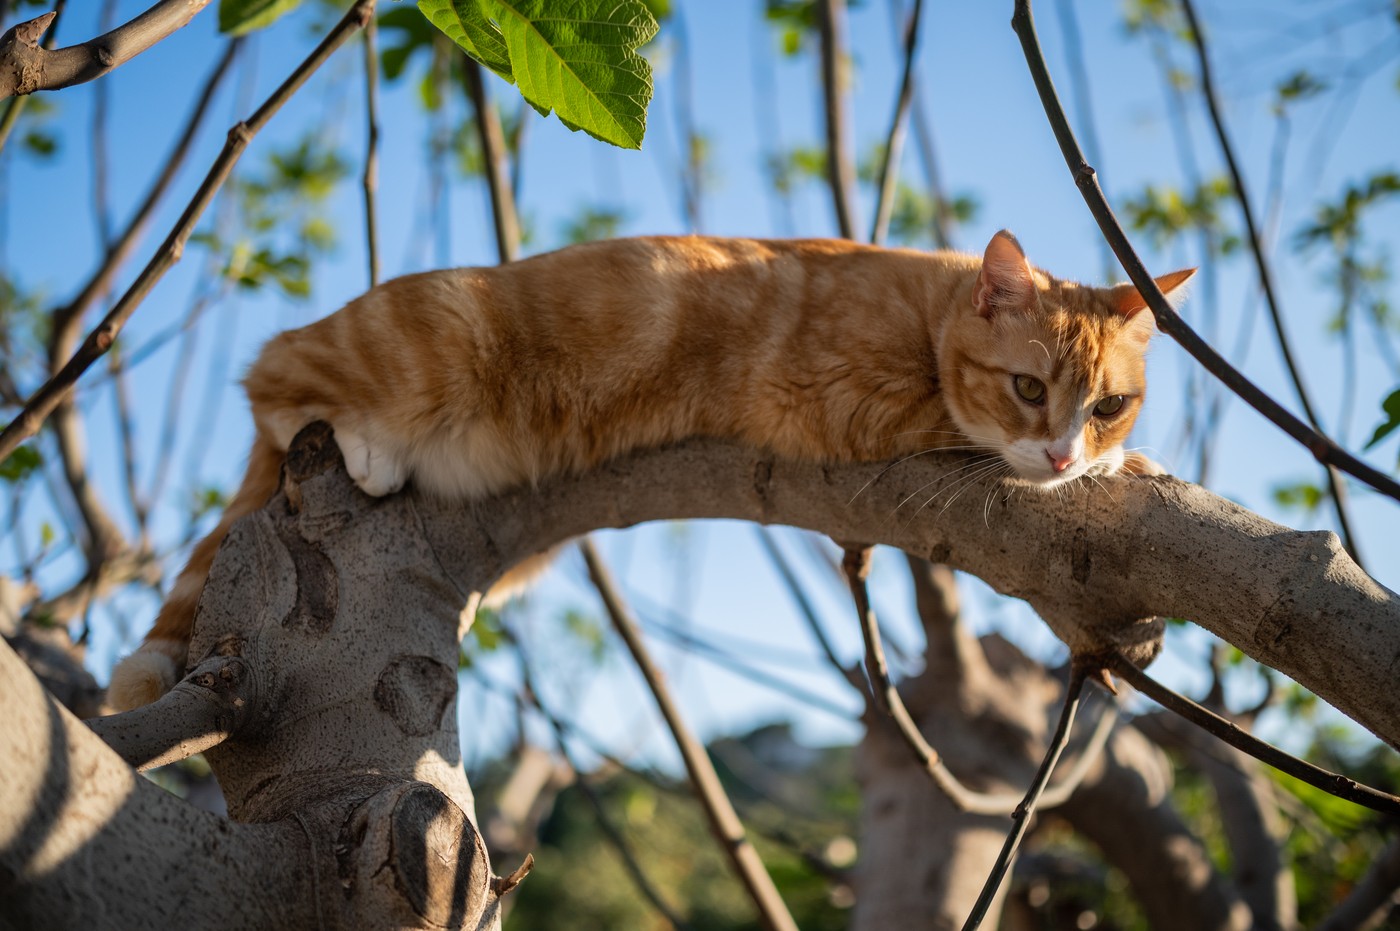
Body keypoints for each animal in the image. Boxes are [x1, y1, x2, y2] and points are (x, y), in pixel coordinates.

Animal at [109, 228, 1192, 708]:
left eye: (1106, 402)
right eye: (1026, 389)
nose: (1066, 448)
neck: (924, 311)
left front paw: (1110, 461)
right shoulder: (865, 404)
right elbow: (957, 434)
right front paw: (1100, 473)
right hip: (424, 341)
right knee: (273, 373)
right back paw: (364, 446)